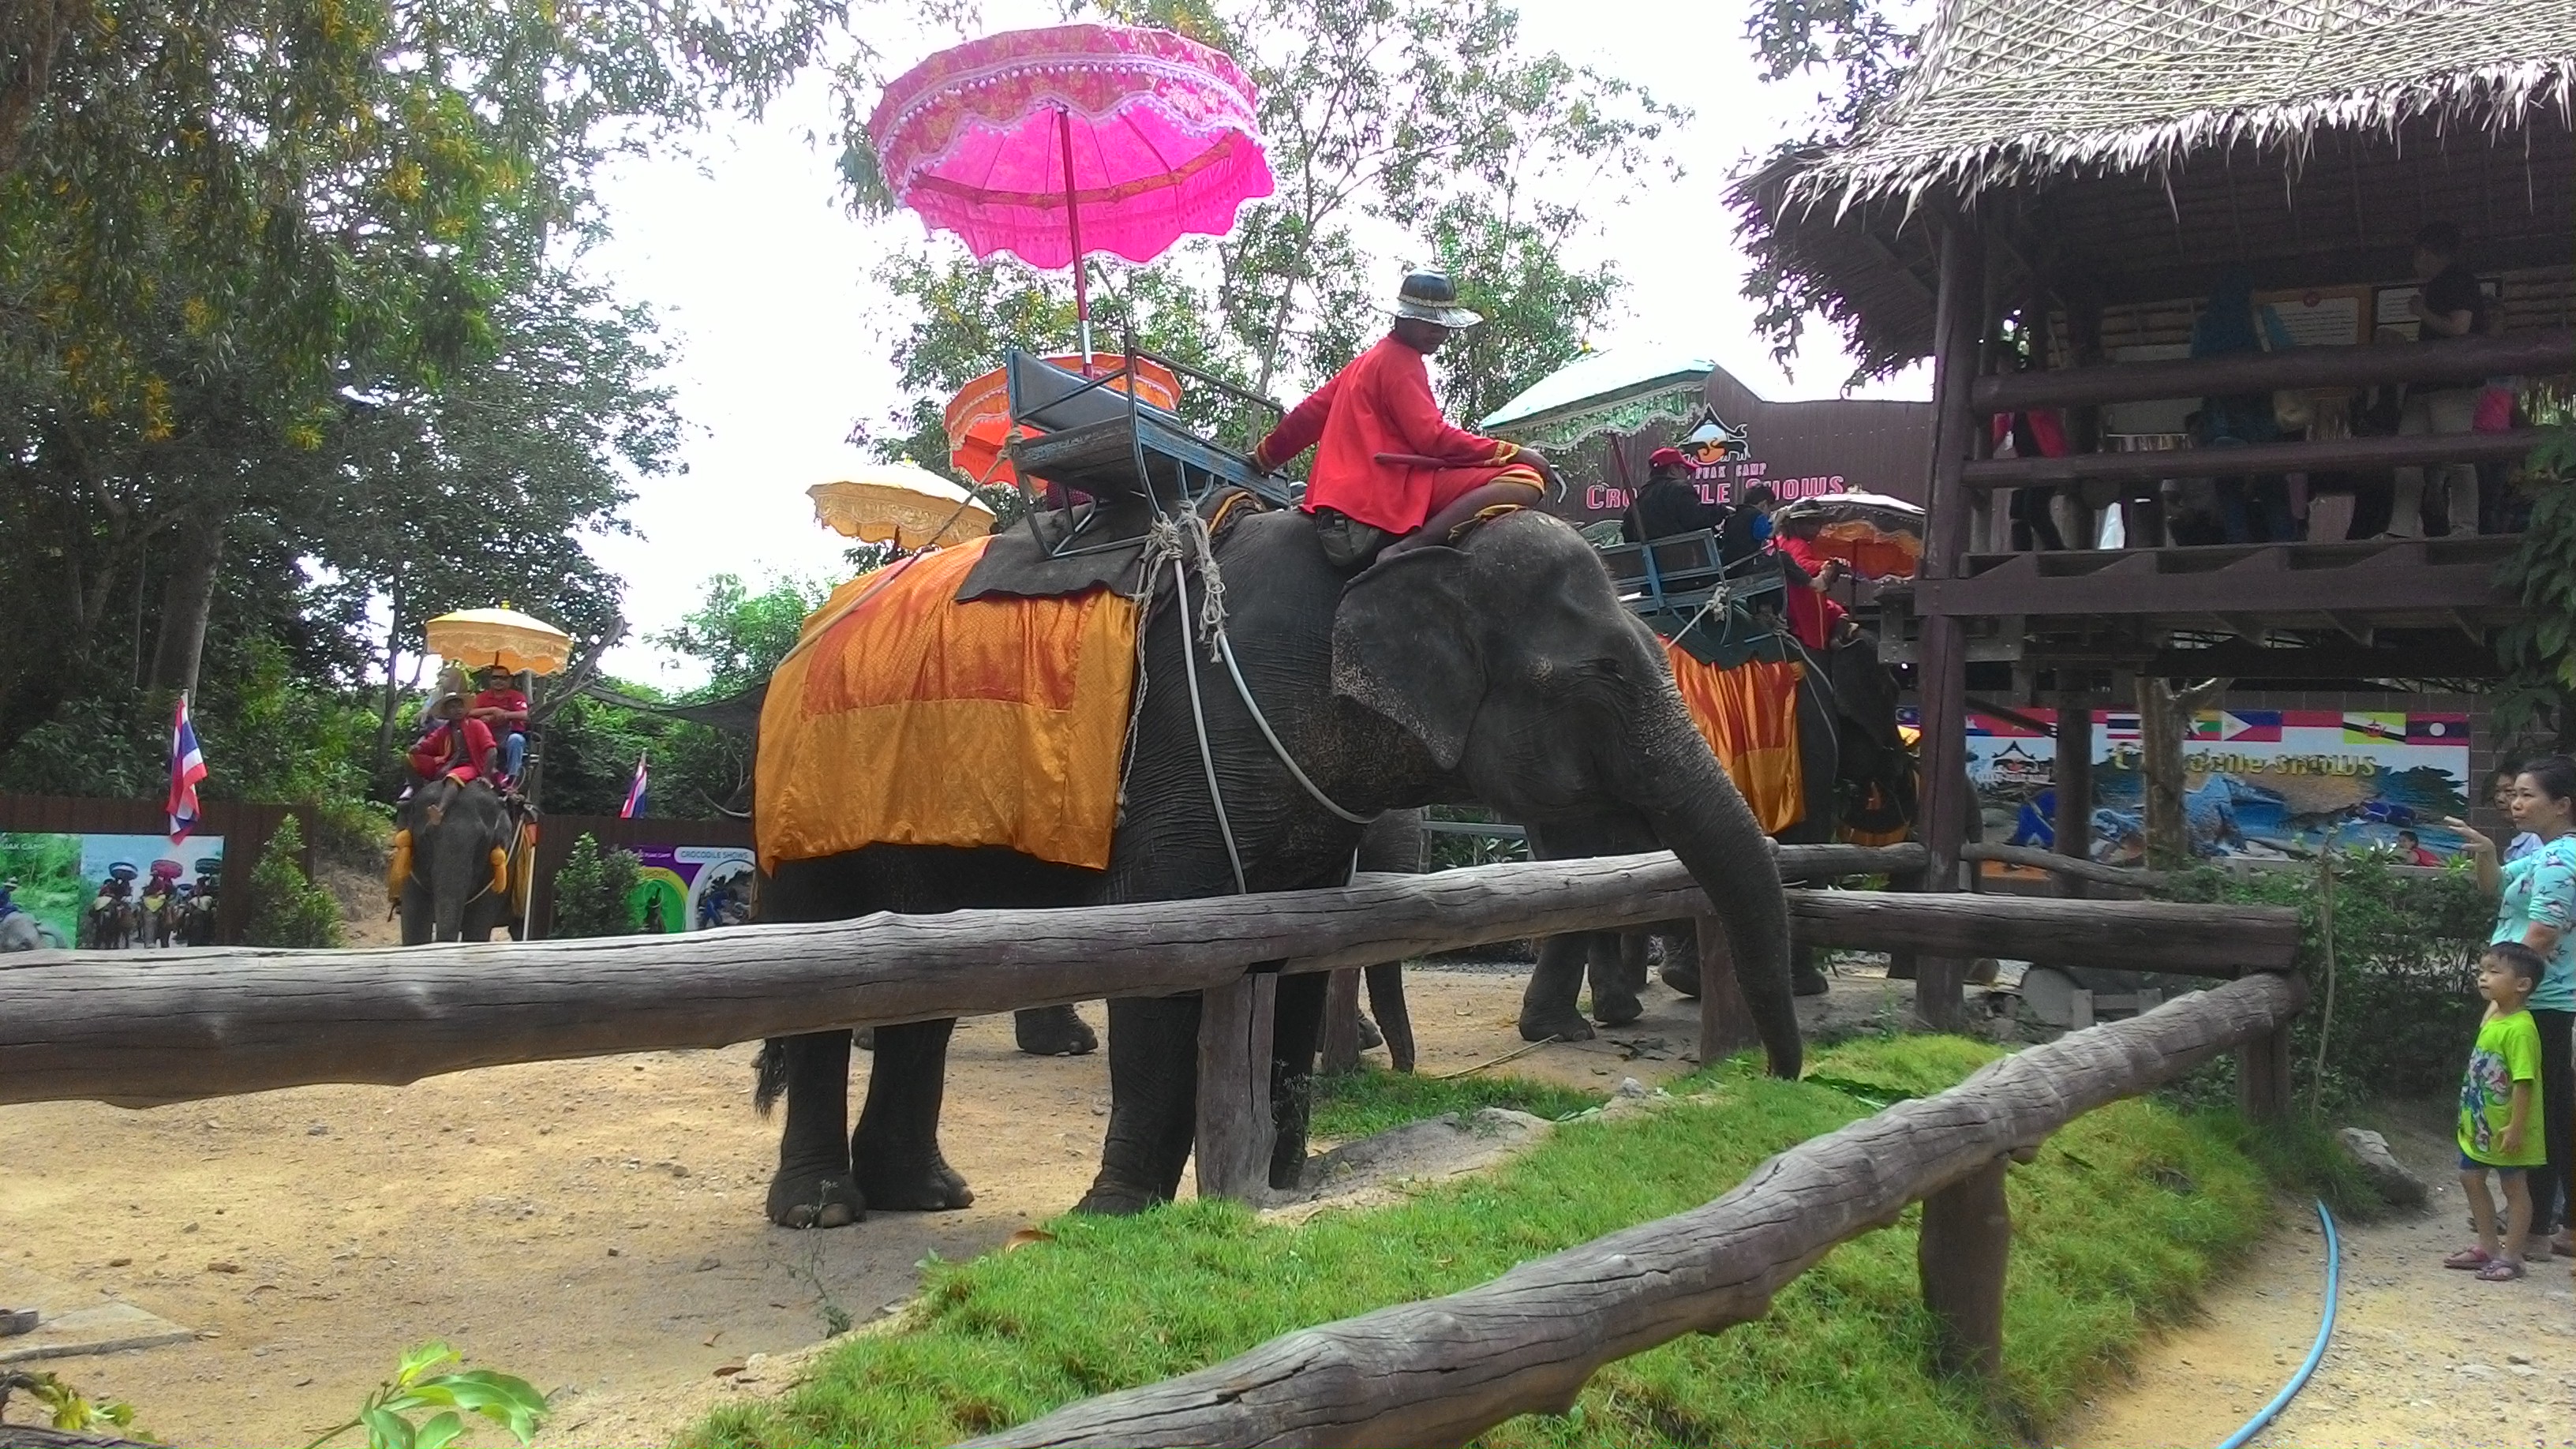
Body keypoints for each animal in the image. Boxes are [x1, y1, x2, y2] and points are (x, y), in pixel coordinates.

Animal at [751, 506, 1800, 1228]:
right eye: (1607, 674)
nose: (1778, 1080)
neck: (1396, 554)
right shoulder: (1194, 748)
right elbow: (1165, 965)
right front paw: (1113, 1220)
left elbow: (1292, 961)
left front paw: (1285, 1184)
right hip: (809, 809)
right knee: (825, 977)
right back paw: (823, 1210)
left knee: (917, 988)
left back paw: (929, 1195)